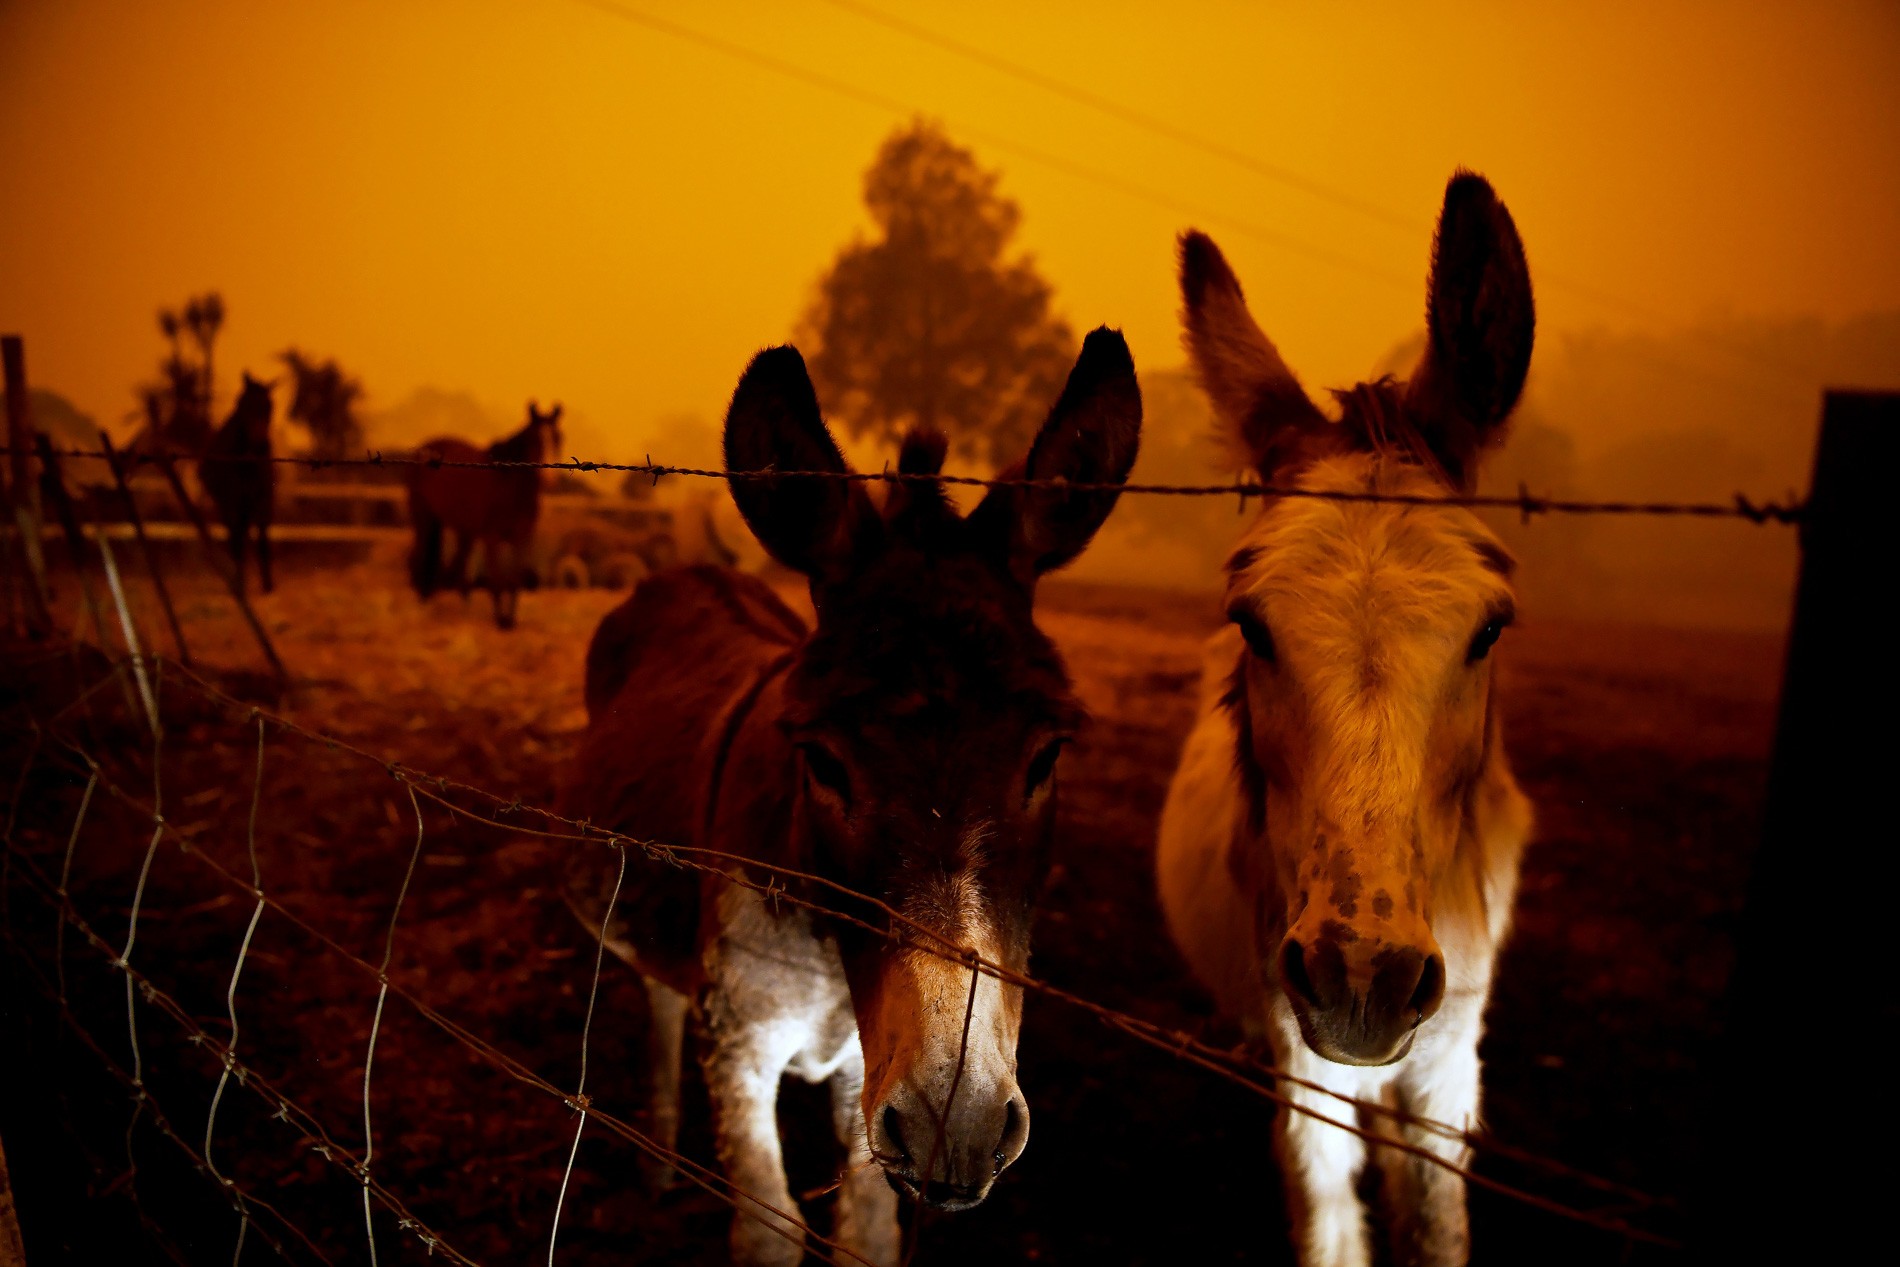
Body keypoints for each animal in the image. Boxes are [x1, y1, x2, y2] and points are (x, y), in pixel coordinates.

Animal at [198, 374, 277, 596]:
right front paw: (240, 583)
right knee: (235, 537)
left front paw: (268, 585)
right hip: (228, 506)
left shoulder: (263, 502)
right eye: (244, 405)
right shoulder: (233, 502)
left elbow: (263, 542)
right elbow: (237, 541)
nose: (261, 445)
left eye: (269, 406)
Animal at [410, 400, 562, 630]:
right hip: (424, 518)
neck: (509, 485)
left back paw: (463, 607)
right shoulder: (492, 538)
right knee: (422, 555)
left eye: (558, 437)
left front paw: (510, 620)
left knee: (459, 562)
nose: (549, 480)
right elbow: (497, 580)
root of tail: (425, 449)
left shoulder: (523, 538)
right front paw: (501, 621)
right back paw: (422, 603)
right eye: (534, 440)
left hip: (463, 528)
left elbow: (514, 580)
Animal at [562, 332, 1140, 1261]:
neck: (831, 945)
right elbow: (768, 1227)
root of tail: (684, 571)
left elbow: (864, 1228)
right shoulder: (742, 1048)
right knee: (660, 991)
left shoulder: (871, 1072)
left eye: (1048, 755)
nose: (957, 1128)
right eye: (824, 763)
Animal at [1147, 170, 1535, 1267]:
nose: (1360, 980)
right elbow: (1328, 1212)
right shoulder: (1305, 1054)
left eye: (1490, 628)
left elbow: (1434, 1211)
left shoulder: (1448, 1059)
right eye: (1251, 624)